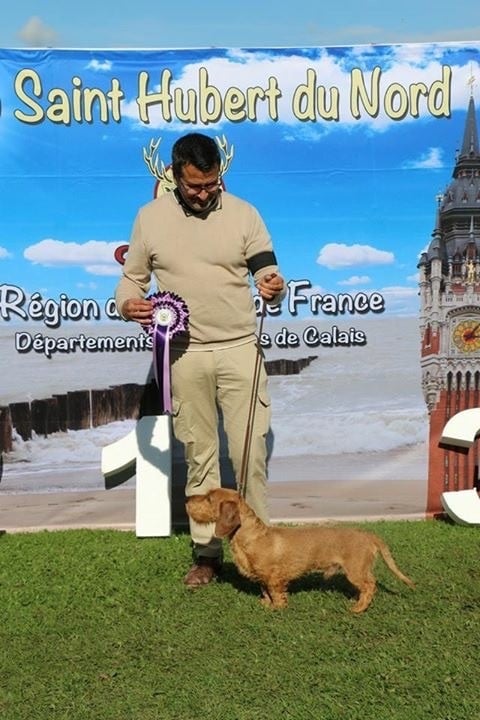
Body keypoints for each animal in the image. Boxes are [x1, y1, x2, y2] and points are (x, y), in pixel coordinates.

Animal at [186, 486, 414, 612]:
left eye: (209, 498)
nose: (187, 500)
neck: (252, 535)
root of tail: (369, 535)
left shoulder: (274, 577)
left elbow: (275, 593)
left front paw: (277, 608)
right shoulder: (263, 577)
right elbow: (265, 591)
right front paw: (266, 604)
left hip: (355, 570)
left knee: (370, 586)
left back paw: (358, 608)